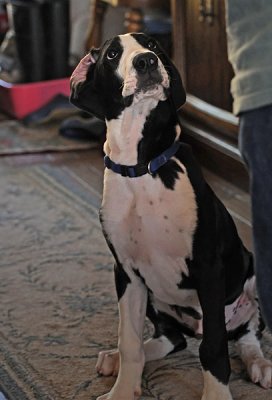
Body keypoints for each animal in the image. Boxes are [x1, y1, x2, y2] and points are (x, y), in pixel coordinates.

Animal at [70, 32, 272, 398]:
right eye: (112, 54)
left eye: (154, 45)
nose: (146, 62)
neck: (141, 168)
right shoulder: (126, 273)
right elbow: (130, 341)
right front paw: (124, 389)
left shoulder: (208, 268)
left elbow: (214, 348)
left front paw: (217, 394)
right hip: (154, 296)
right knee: (172, 338)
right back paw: (114, 359)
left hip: (250, 281)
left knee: (246, 335)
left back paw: (260, 365)